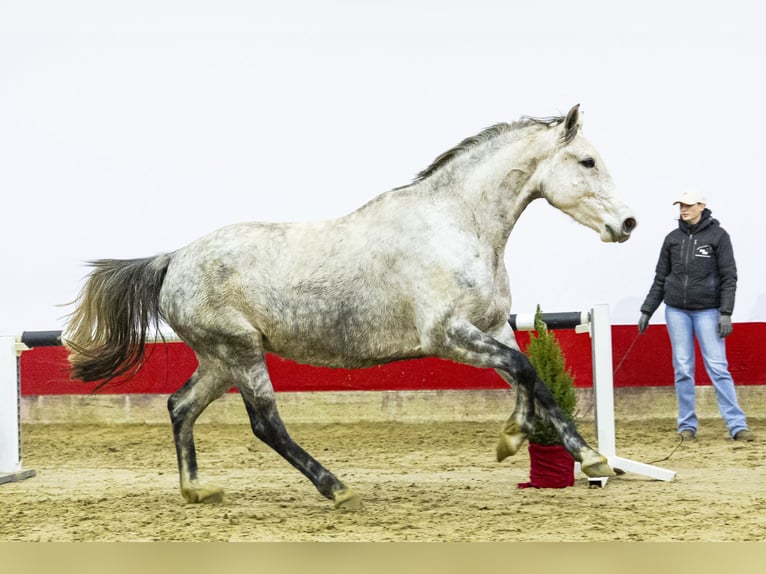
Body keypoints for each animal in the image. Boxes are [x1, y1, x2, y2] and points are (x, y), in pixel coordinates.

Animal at [64, 105, 636, 510]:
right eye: (587, 161)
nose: (627, 224)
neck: (456, 223)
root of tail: (173, 259)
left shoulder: (490, 327)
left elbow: (529, 377)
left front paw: (549, 447)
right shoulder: (448, 334)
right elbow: (524, 369)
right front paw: (561, 451)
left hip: (219, 360)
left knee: (180, 406)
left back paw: (198, 491)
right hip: (241, 352)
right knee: (266, 424)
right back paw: (337, 489)